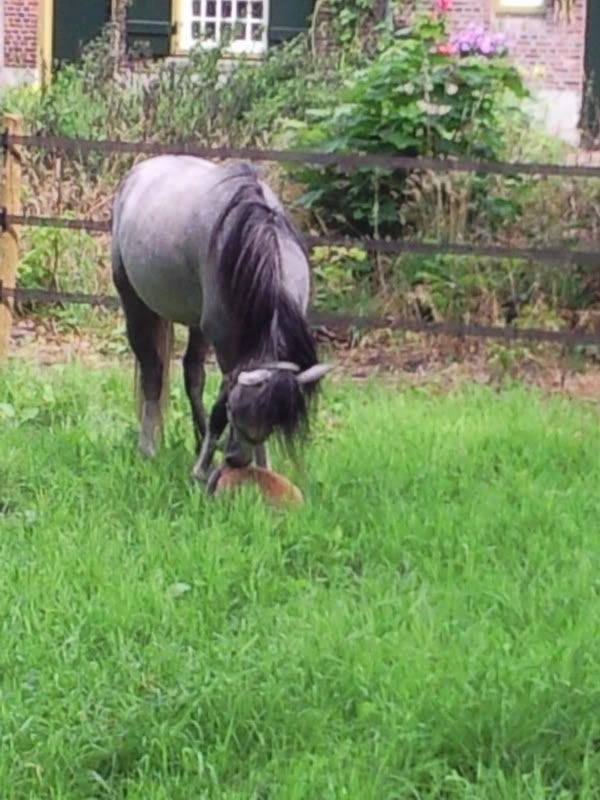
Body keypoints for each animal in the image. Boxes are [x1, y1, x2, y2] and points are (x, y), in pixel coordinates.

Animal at [111, 155, 330, 490]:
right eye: (236, 413)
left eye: (270, 424)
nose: (235, 460)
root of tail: (141, 169)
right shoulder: (227, 348)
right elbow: (217, 406)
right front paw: (201, 471)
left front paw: (261, 468)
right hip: (135, 304)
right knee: (153, 373)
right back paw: (148, 448)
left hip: (198, 323)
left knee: (193, 374)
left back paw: (200, 438)